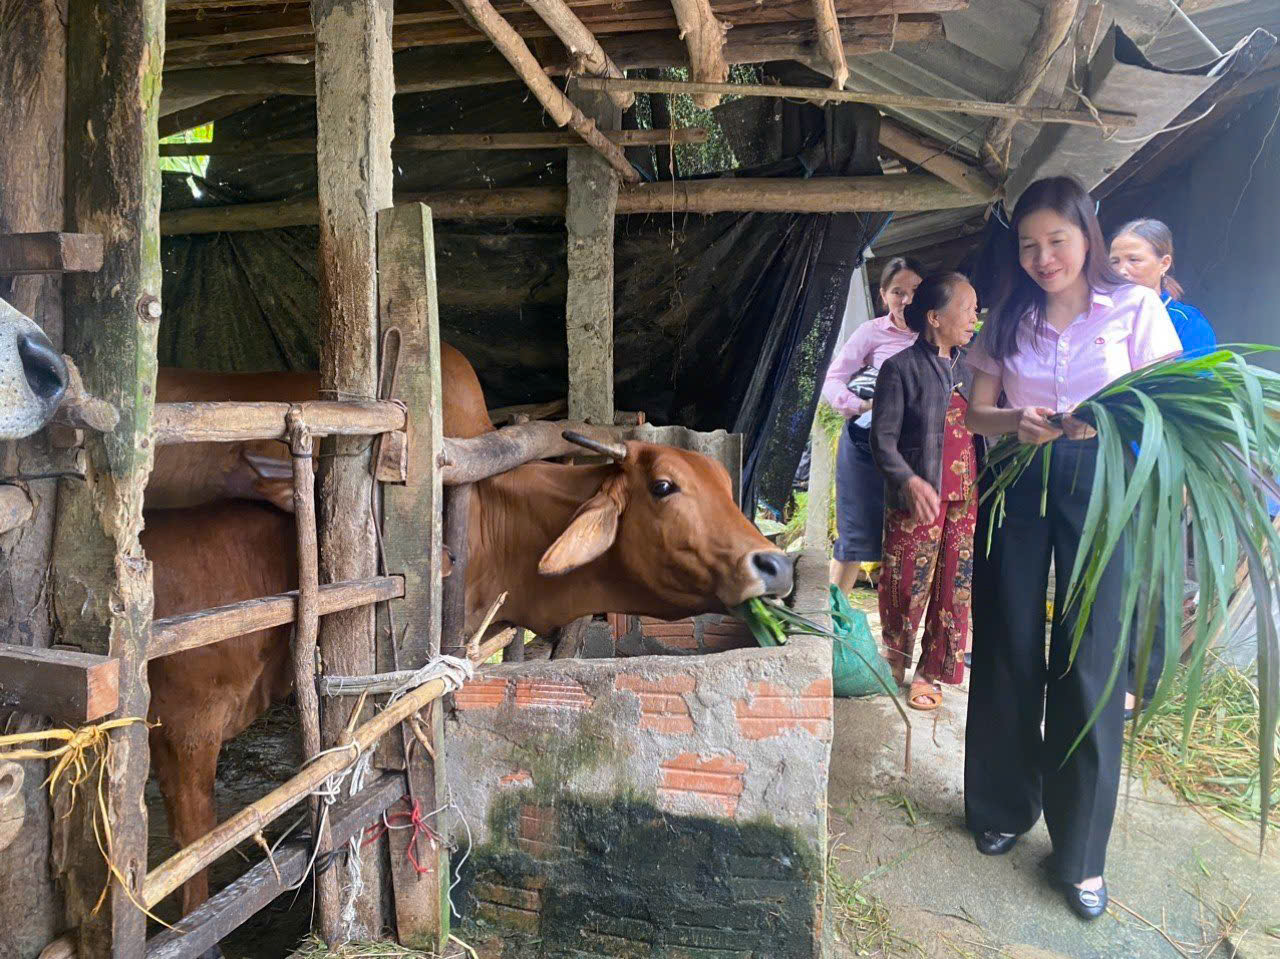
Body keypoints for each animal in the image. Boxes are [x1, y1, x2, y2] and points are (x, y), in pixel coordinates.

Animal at [142, 343, 788, 921]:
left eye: (725, 485)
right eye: (664, 486)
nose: (775, 565)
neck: (490, 512)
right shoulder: (184, 726)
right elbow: (192, 848)